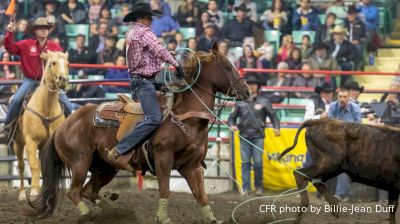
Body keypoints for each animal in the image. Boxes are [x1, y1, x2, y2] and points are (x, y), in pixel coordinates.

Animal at [13, 50, 69, 201]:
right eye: (53, 63)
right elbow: (33, 165)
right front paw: (34, 192)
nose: (63, 80)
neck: (46, 108)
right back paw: (22, 193)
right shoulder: (31, 141)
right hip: (18, 143)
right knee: (21, 166)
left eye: (68, 64)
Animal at [26, 48, 248, 223]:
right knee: (75, 192)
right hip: (80, 162)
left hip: (105, 167)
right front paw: (163, 218)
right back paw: (88, 215)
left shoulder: (191, 166)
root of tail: (64, 125)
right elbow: (165, 189)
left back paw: (116, 212)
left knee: (88, 191)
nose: (246, 91)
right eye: (227, 66)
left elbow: (201, 195)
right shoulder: (163, 157)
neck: (186, 117)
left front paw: (212, 219)